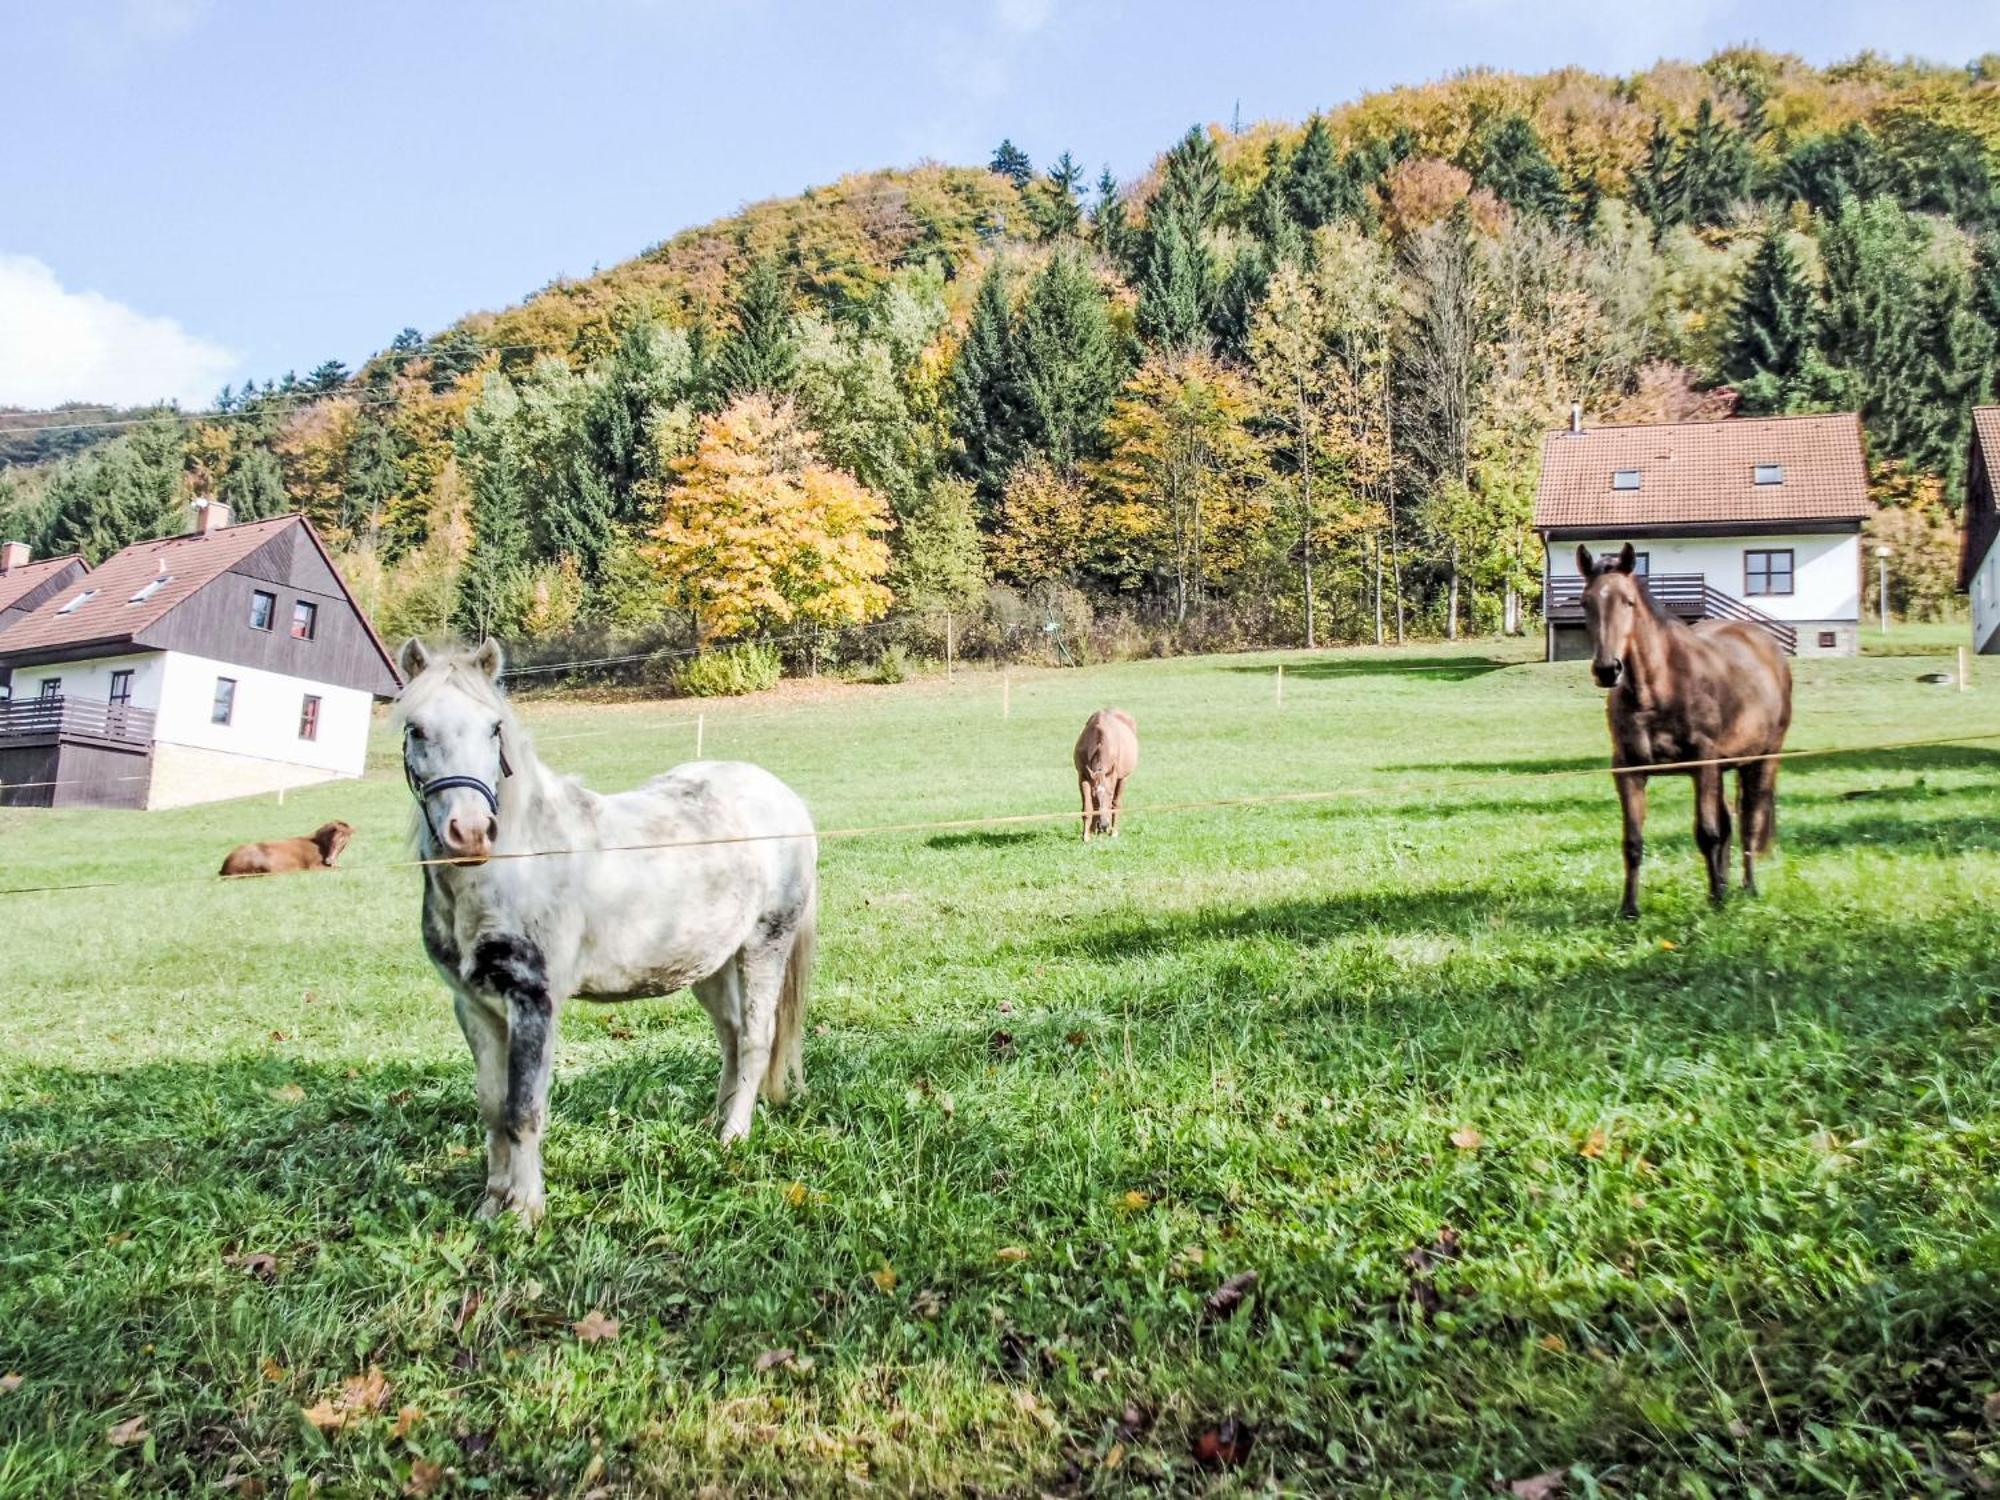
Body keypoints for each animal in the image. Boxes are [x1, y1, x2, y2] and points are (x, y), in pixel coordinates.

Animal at [394, 640, 816, 1224]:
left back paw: (733, 1136)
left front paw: (524, 1212)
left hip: (764, 944)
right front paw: (491, 1205)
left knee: (755, 1039)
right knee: (731, 1036)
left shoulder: (534, 1000)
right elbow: (492, 1105)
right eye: (415, 728)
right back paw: (713, 1124)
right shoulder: (474, 1006)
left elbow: (523, 1108)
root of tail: (785, 798)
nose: (471, 832)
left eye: (494, 728)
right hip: (709, 963)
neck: (516, 863)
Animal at [1072, 708, 1136, 840]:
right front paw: (1086, 835)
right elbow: (1087, 807)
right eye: (1094, 795)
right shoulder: (1083, 777)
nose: (1104, 825)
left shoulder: (1113, 776)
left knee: (1117, 803)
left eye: (1110, 794)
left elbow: (1114, 803)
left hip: (1123, 778)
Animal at [1576, 548, 1800, 924]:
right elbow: (1633, 841)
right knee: (1729, 823)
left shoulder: (1702, 763)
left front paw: (1717, 902)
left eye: (1628, 601)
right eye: (1585, 602)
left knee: (1749, 822)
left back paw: (1747, 888)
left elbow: (1707, 833)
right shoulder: (1629, 770)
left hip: (1761, 760)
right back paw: (1723, 883)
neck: (1658, 689)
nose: (1608, 669)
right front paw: (1629, 909)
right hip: (1723, 768)